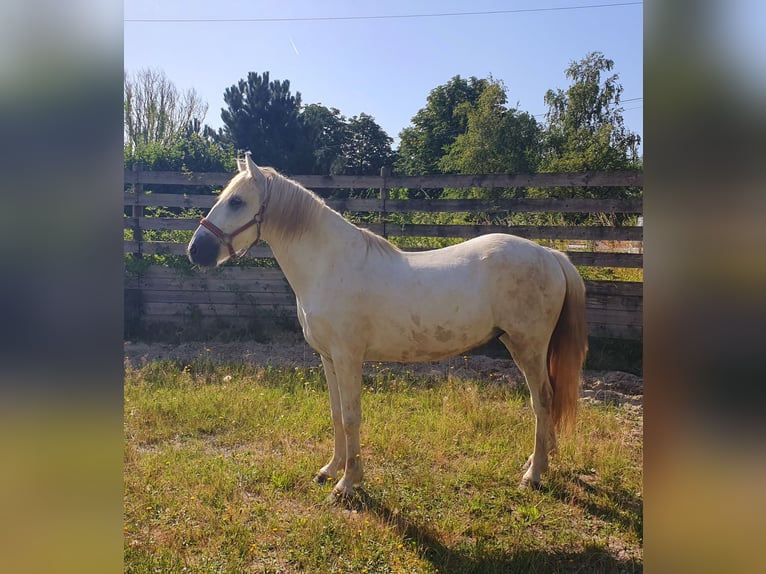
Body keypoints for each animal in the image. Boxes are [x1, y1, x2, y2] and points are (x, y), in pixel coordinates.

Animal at [187, 154, 588, 500]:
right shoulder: (328, 359)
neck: (329, 264)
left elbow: (352, 418)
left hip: (527, 347)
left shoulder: (348, 358)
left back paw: (533, 475)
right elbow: (336, 414)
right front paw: (330, 470)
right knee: (548, 400)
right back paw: (540, 461)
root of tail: (550, 254)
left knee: (542, 400)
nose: (196, 251)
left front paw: (348, 483)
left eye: (237, 201)